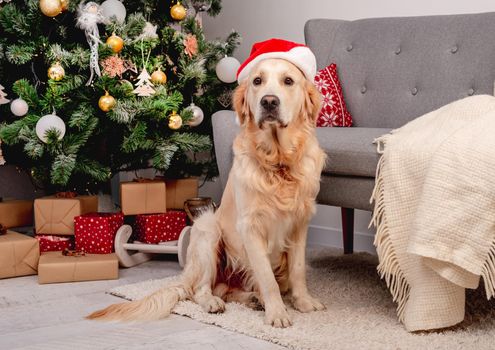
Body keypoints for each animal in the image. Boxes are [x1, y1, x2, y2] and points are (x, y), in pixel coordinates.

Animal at [88, 57, 330, 328]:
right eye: (257, 81)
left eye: (288, 81)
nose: (269, 101)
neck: (278, 162)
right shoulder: (250, 227)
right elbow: (267, 278)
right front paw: (277, 313)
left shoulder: (300, 223)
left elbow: (297, 270)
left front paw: (304, 303)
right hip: (208, 229)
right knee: (201, 290)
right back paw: (216, 302)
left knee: (226, 289)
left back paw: (253, 299)